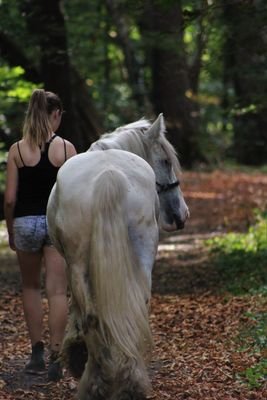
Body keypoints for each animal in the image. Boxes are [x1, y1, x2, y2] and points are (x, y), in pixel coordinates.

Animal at [47, 113, 191, 400]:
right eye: (166, 161)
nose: (182, 214)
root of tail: (108, 174)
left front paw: (75, 351)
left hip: (77, 263)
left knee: (92, 316)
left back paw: (95, 379)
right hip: (140, 252)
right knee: (134, 306)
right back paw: (126, 382)